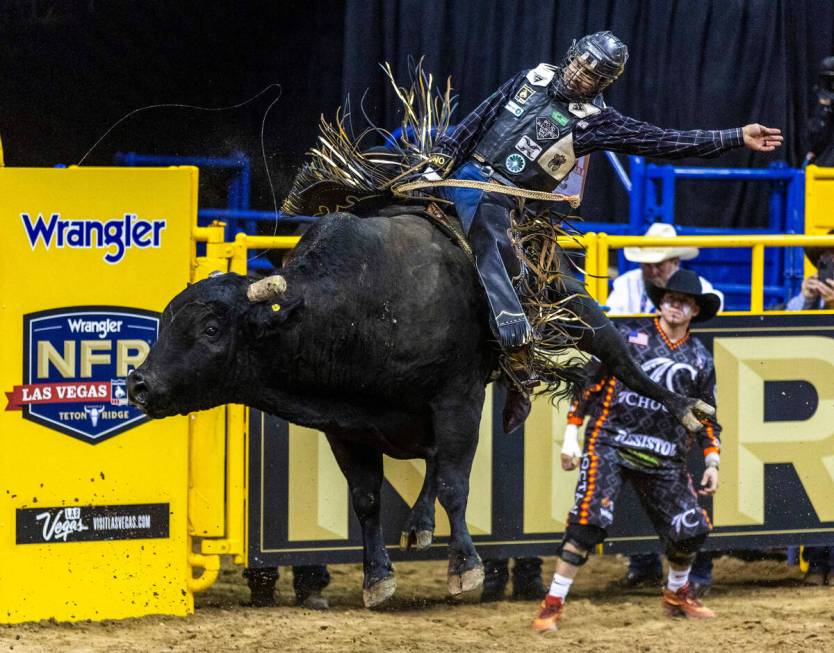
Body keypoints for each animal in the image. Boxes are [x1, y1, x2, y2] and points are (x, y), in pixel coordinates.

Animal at [128, 211, 708, 608]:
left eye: (210, 327)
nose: (138, 384)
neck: (361, 308)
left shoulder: (459, 399)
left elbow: (455, 484)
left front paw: (465, 569)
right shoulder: (345, 426)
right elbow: (367, 499)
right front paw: (377, 577)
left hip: (572, 307)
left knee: (618, 356)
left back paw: (685, 408)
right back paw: (419, 524)